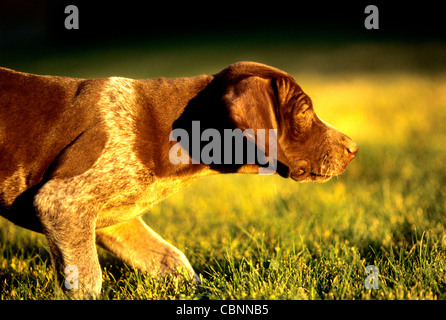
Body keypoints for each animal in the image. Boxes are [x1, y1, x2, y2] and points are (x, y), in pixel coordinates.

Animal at [0, 62, 356, 298]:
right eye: (304, 111)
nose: (353, 148)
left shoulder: (111, 220)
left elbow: (171, 258)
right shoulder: (63, 204)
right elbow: (88, 279)